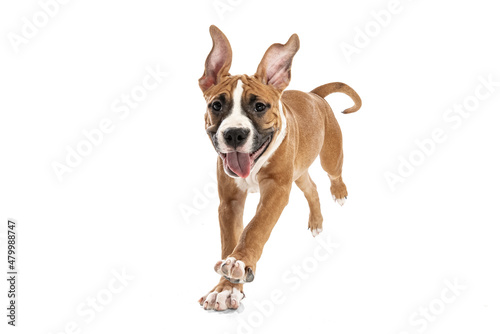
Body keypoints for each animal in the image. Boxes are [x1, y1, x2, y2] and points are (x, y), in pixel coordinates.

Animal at [197, 25, 362, 310]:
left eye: (259, 106)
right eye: (216, 105)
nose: (234, 134)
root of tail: (314, 95)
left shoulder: (276, 191)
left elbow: (255, 229)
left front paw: (239, 262)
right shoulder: (230, 201)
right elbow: (230, 239)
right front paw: (226, 289)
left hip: (330, 156)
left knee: (334, 174)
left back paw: (339, 192)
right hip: (299, 172)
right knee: (311, 189)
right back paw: (316, 221)